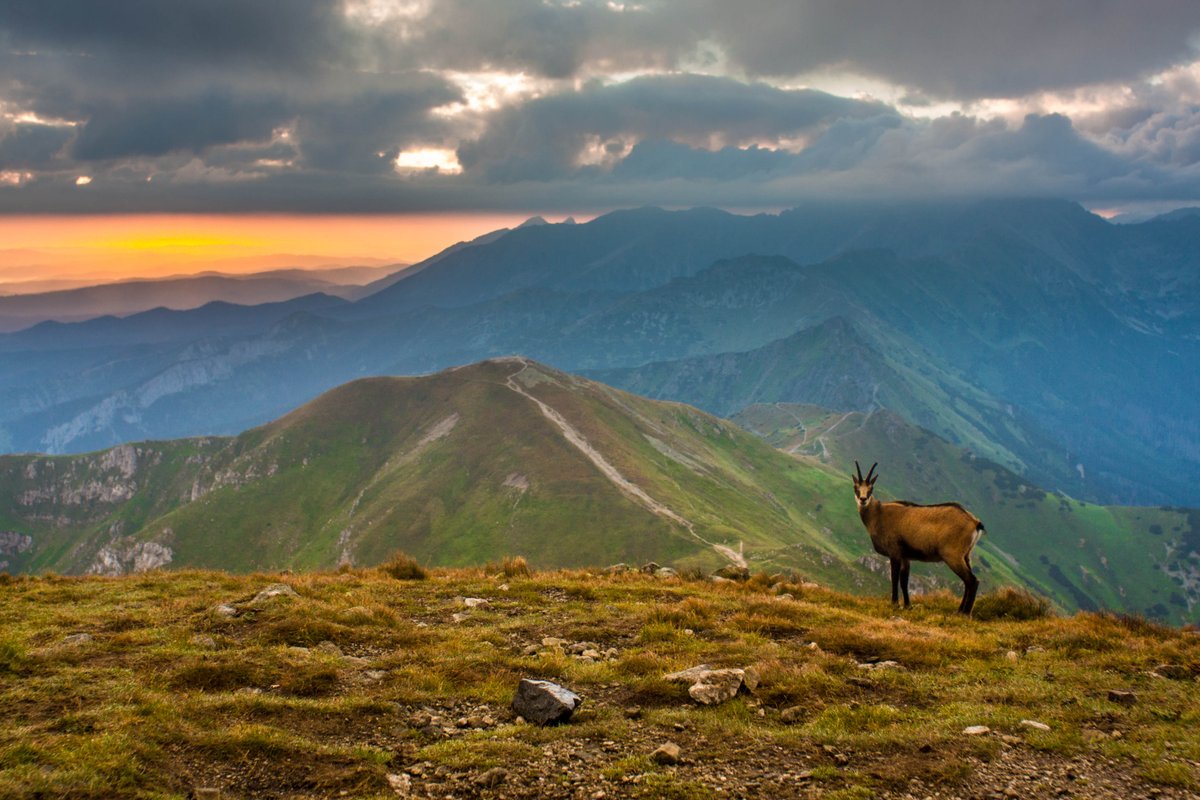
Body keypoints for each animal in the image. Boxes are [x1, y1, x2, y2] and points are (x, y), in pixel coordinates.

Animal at [852, 461, 984, 615]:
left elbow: (895, 578)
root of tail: (974, 522)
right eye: (856, 487)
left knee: (972, 581)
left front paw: (895, 603)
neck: (878, 514)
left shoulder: (894, 552)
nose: (863, 499)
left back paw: (965, 613)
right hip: (966, 556)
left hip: (953, 555)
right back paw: (959, 611)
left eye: (871, 488)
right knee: (967, 581)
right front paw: (907, 605)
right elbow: (904, 580)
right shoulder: (905, 556)